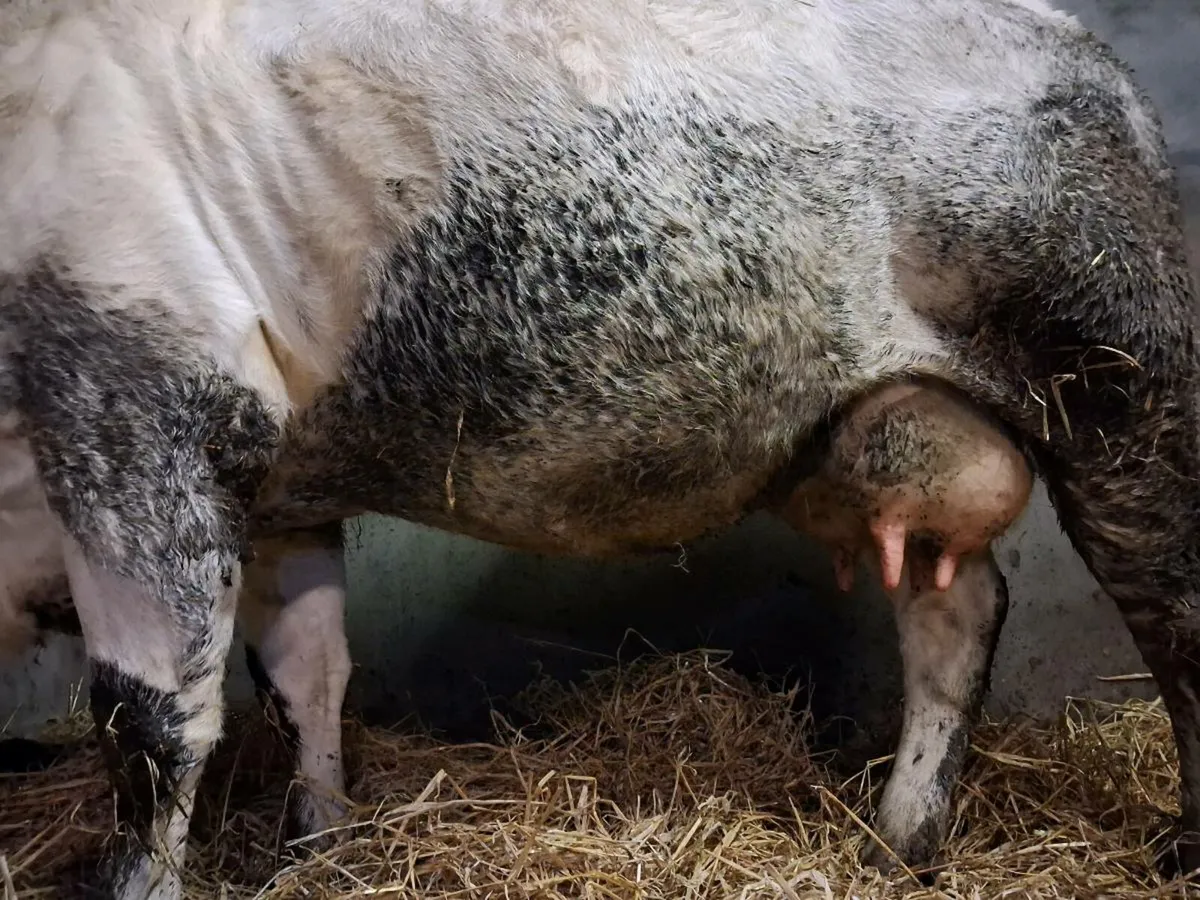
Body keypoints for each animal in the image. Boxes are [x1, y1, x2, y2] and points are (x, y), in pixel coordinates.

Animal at [2, 0, 1199, 897]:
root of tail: (1095, 57)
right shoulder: (284, 483)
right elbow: (307, 672)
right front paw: (321, 848)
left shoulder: (137, 410)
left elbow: (153, 716)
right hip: (881, 429)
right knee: (958, 610)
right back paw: (896, 843)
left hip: (1121, 374)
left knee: (1171, 602)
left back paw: (1172, 845)